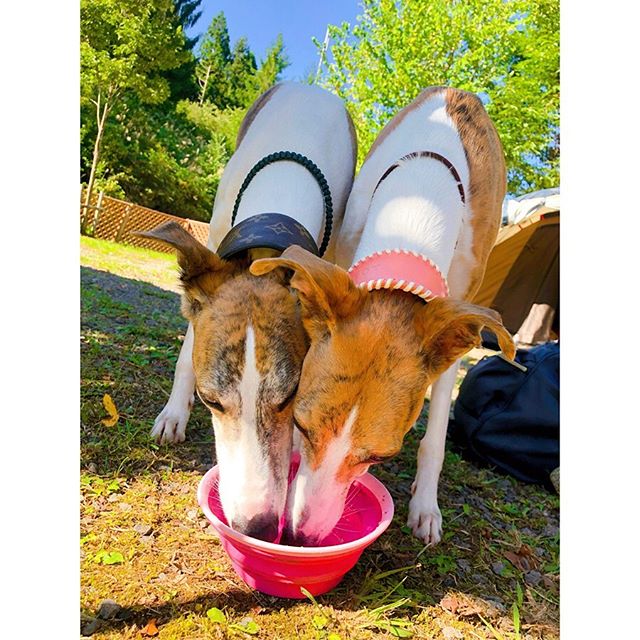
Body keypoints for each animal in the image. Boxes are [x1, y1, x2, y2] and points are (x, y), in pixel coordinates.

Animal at [252, 85, 516, 544]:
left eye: (378, 455)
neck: (419, 199)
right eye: (301, 426)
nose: (299, 537)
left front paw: (426, 507)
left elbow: (436, 436)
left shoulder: (457, 317)